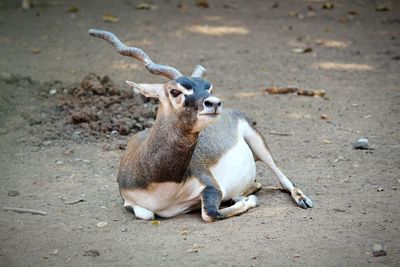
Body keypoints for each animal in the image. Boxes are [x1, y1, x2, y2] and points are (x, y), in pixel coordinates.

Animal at [89, 28, 314, 223]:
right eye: (175, 91)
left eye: (208, 88)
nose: (214, 103)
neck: (161, 181)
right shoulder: (129, 201)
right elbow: (146, 214)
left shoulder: (212, 186)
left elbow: (210, 213)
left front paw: (247, 200)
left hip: (257, 142)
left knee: (283, 177)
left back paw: (301, 199)